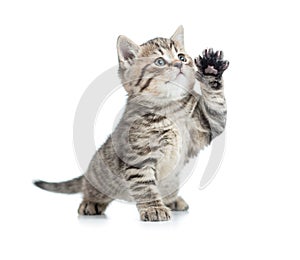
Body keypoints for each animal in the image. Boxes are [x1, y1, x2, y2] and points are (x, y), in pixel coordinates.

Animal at [33, 25, 230, 221]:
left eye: (181, 57)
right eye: (160, 61)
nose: (179, 64)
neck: (169, 108)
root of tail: (88, 173)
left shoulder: (207, 125)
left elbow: (216, 107)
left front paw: (211, 69)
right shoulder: (138, 158)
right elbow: (146, 186)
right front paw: (153, 208)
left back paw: (172, 199)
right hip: (100, 180)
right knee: (89, 190)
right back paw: (91, 203)